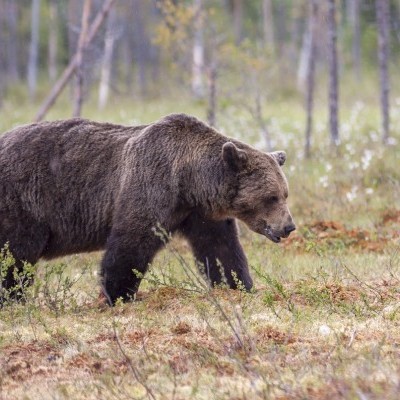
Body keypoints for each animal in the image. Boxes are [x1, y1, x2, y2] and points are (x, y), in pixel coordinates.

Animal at [0, 114, 294, 304]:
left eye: (284, 193)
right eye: (271, 197)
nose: (289, 226)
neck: (189, 181)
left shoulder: (199, 213)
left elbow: (221, 250)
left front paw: (238, 284)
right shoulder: (150, 186)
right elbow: (130, 243)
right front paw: (116, 294)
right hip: (23, 200)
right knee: (16, 254)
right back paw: (13, 298)